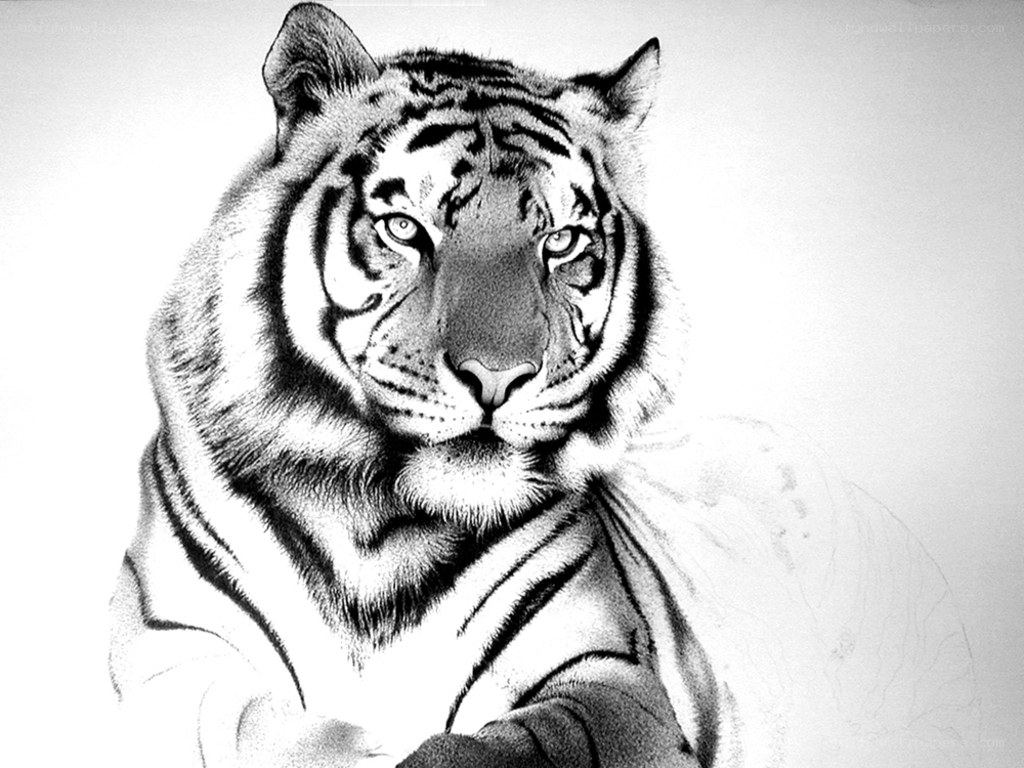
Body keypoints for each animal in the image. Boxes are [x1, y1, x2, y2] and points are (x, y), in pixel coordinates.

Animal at [108, 4, 978, 768]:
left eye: (560, 242)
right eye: (405, 229)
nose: (498, 377)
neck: (379, 530)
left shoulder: (611, 678)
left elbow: (505, 746)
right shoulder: (173, 654)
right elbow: (252, 730)